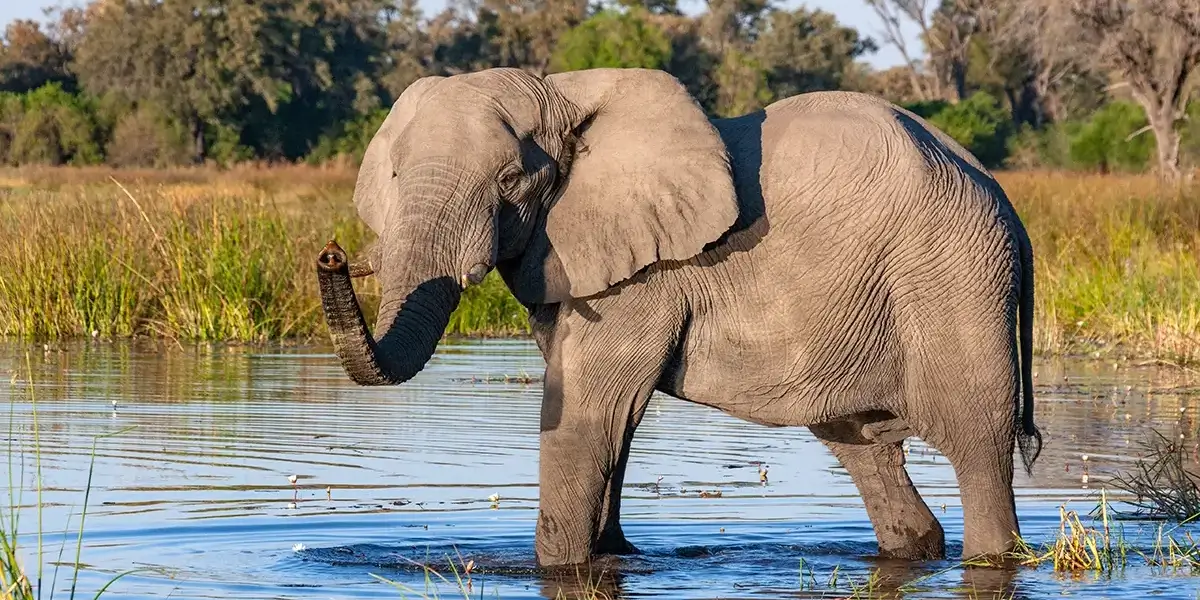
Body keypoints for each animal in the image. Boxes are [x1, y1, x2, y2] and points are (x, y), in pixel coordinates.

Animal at [314, 67, 1042, 569]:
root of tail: (1005, 200)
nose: (331, 255)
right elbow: (611, 422)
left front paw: (557, 567)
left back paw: (992, 555)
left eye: (510, 183)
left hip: (953, 279)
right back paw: (916, 547)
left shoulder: (646, 275)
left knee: (978, 442)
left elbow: (588, 412)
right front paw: (612, 556)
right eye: (395, 176)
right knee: (860, 443)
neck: (562, 94)